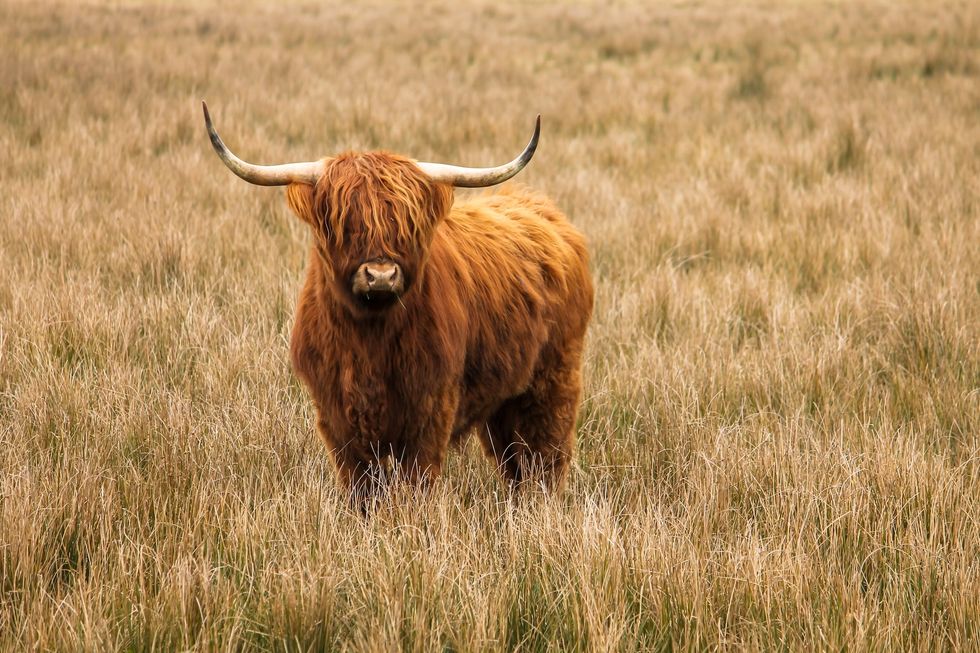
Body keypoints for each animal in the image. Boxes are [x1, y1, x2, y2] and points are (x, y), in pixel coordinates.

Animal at [203, 102, 593, 506]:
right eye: (344, 222)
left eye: (406, 225)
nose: (380, 276)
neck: (369, 340)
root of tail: (542, 210)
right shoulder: (336, 415)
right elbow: (361, 486)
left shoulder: (429, 410)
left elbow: (415, 481)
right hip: (503, 396)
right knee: (513, 459)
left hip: (554, 377)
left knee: (546, 453)